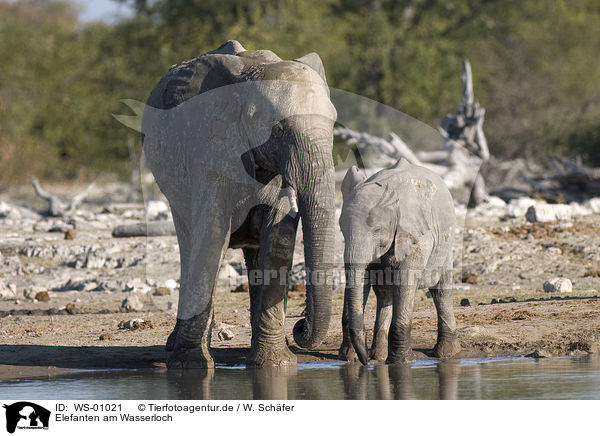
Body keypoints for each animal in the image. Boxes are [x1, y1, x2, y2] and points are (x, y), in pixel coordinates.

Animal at [142, 40, 338, 368]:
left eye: (334, 127)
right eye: (278, 129)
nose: (300, 327)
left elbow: (278, 238)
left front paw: (275, 365)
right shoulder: (211, 148)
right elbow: (213, 233)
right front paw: (191, 365)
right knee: (189, 244)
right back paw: (175, 346)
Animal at [340, 159, 462, 364]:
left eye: (377, 230)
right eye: (341, 230)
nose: (366, 361)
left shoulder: (417, 235)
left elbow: (405, 280)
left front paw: (403, 362)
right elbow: (362, 281)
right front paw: (350, 358)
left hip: (446, 244)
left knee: (440, 290)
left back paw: (447, 355)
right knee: (384, 292)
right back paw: (379, 356)